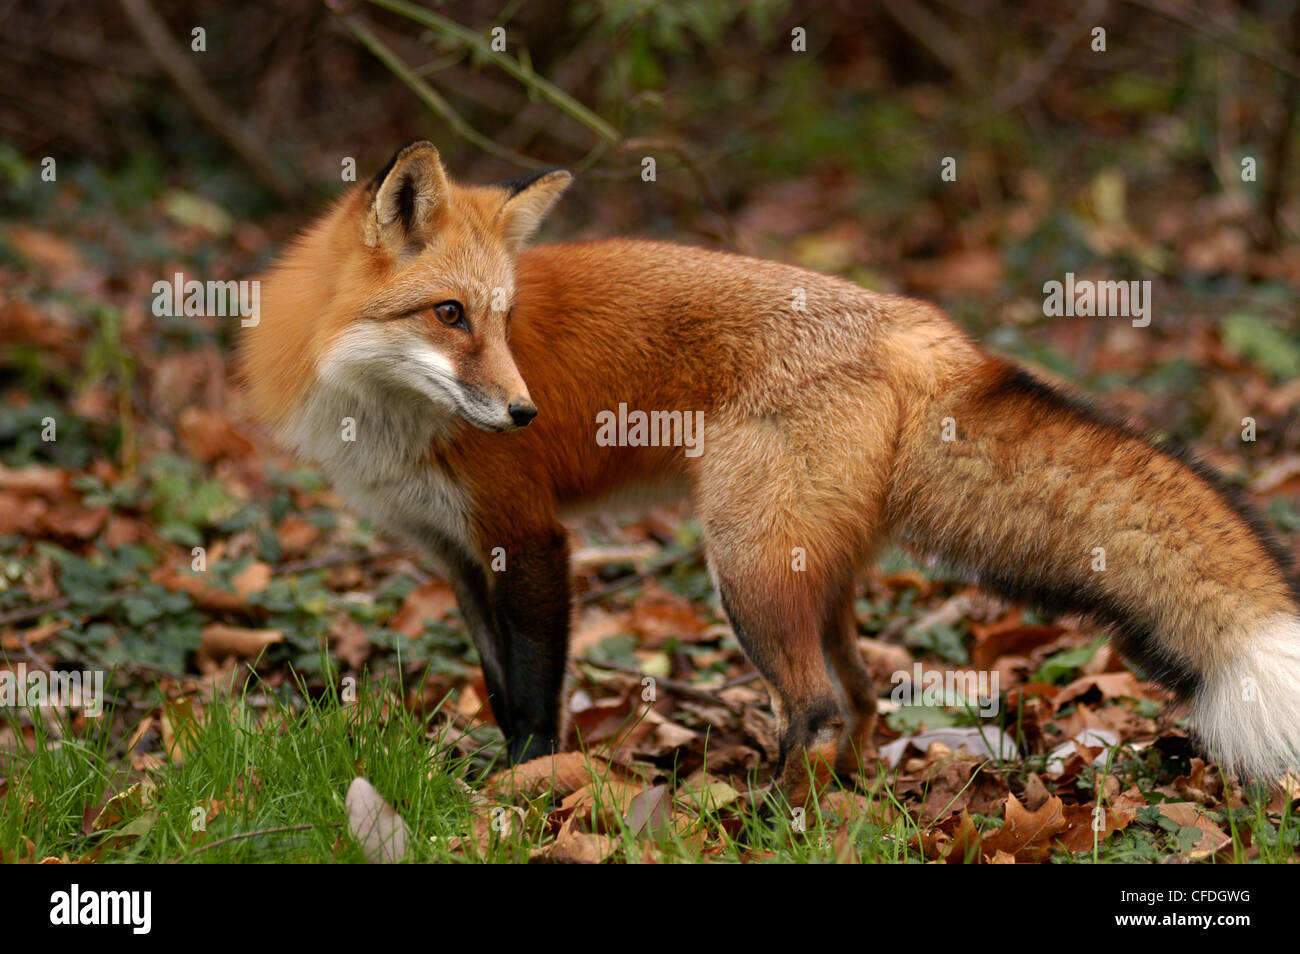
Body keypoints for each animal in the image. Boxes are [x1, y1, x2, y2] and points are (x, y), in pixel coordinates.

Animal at [241, 140, 1300, 795]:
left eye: (502, 320)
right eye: (450, 314)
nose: (521, 412)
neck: (379, 413)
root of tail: (919, 324)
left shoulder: (528, 538)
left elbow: (535, 697)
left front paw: (523, 786)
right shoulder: (455, 554)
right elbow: (500, 685)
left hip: (745, 567)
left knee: (819, 705)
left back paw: (774, 816)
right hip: (807, 574)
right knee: (862, 697)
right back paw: (846, 801)